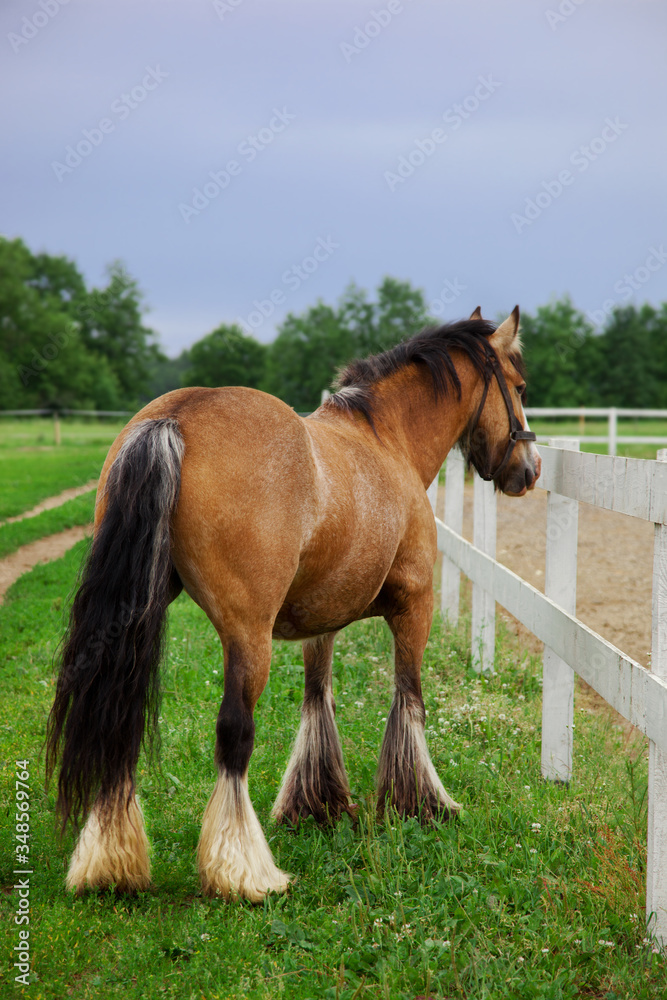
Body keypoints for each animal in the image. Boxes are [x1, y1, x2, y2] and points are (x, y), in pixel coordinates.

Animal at [46, 305, 540, 903]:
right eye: (520, 386)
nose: (530, 469)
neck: (386, 439)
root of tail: (175, 419)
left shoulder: (320, 621)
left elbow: (316, 700)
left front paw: (318, 803)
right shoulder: (413, 607)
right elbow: (409, 701)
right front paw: (419, 804)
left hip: (138, 616)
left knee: (121, 721)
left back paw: (109, 863)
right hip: (247, 637)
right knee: (233, 733)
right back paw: (243, 870)